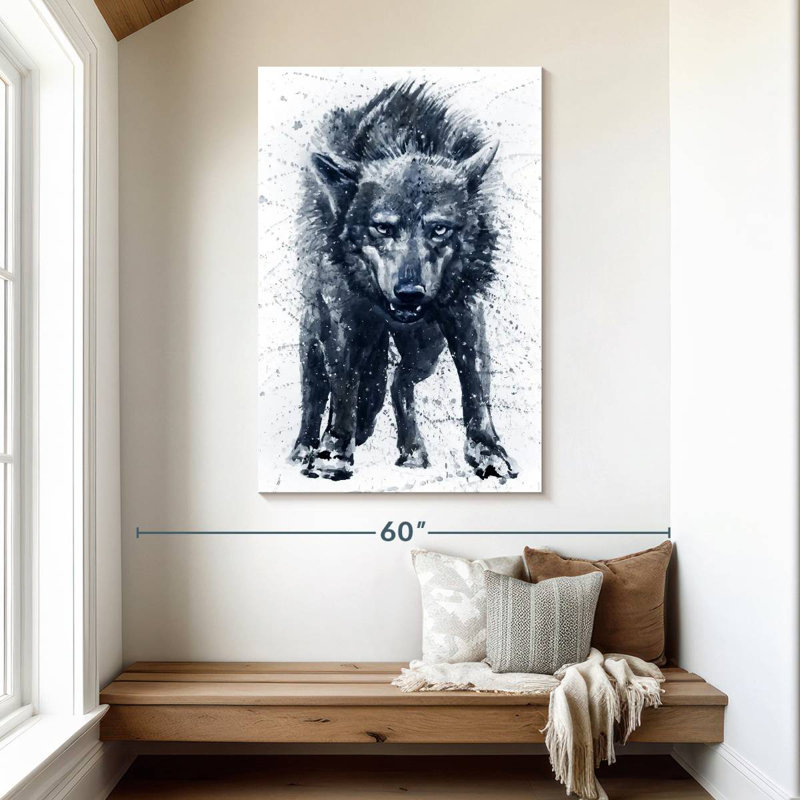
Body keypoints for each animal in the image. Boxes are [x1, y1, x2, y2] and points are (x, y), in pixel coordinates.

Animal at [290, 82, 518, 482]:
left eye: (439, 229)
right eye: (383, 228)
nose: (410, 294)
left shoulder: (464, 311)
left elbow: (475, 388)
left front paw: (488, 453)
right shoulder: (344, 317)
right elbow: (344, 386)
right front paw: (333, 454)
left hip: (426, 348)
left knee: (400, 381)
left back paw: (412, 451)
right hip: (314, 334)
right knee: (315, 393)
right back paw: (304, 449)